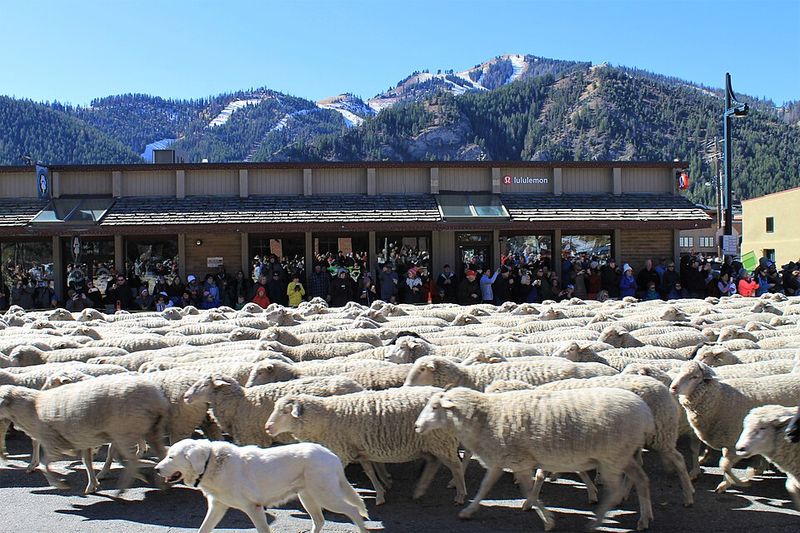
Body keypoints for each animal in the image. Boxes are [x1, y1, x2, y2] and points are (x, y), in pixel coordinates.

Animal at [0, 375, 168, 494]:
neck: (33, 408)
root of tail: (156, 399)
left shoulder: (55, 444)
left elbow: (44, 465)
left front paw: (60, 484)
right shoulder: (83, 439)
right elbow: (87, 462)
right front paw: (92, 485)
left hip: (125, 432)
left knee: (133, 459)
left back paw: (124, 486)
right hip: (150, 430)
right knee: (160, 453)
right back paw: (161, 479)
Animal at [265, 386, 467, 506]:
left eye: (285, 412)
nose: (267, 427)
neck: (325, 418)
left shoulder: (343, 452)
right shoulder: (359, 451)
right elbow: (370, 472)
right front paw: (380, 494)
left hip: (441, 441)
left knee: (456, 466)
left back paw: (460, 495)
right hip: (432, 443)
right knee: (434, 463)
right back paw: (420, 490)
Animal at [413, 387, 654, 531]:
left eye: (435, 407)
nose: (416, 426)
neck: (485, 417)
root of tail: (645, 412)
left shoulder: (518, 461)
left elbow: (526, 490)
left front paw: (547, 520)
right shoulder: (503, 461)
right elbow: (485, 487)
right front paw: (468, 511)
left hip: (612, 457)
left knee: (616, 491)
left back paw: (596, 522)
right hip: (623, 455)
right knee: (642, 480)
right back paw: (645, 518)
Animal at [669, 360, 800, 493]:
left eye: (694, 377)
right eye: (680, 372)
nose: (673, 387)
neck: (719, 398)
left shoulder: (733, 442)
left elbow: (724, 465)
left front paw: (731, 483)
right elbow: (696, 451)